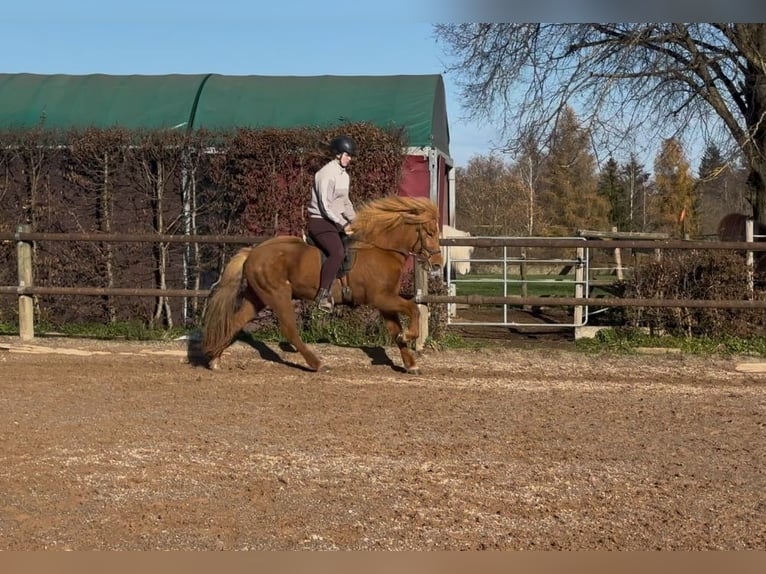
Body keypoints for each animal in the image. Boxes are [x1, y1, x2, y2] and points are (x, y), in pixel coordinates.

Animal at [202, 196, 444, 376]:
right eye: (430, 233)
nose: (437, 264)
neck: (381, 250)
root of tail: (252, 253)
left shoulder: (386, 302)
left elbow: (396, 331)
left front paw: (411, 363)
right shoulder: (381, 298)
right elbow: (413, 310)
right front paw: (409, 337)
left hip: (258, 298)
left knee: (235, 322)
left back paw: (214, 359)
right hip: (278, 295)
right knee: (290, 330)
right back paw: (317, 364)